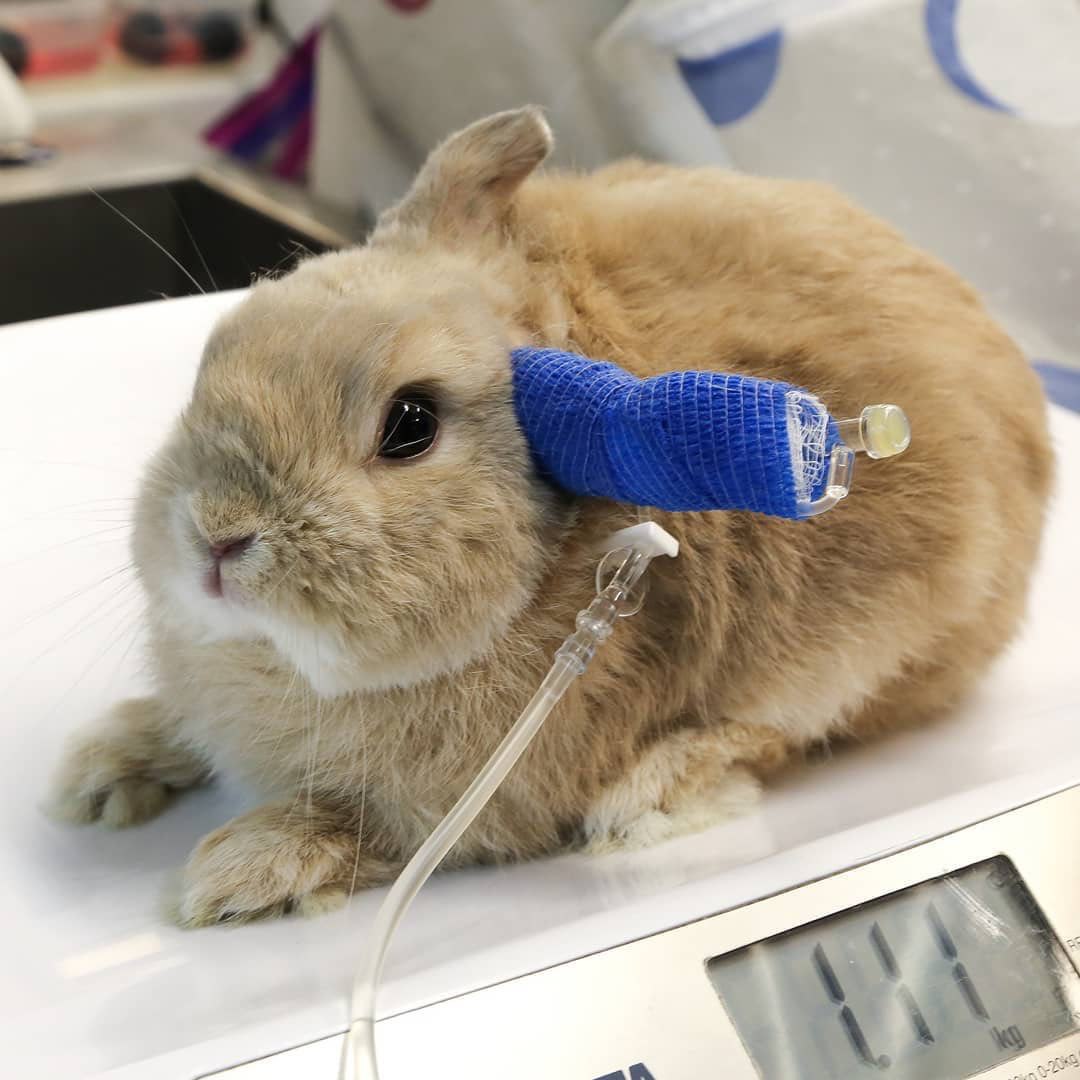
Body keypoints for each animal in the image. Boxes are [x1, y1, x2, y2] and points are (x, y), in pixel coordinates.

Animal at [46, 108, 1053, 927]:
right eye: (217, 356)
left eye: (410, 425)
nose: (215, 537)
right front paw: (97, 771)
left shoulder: (473, 807)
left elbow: (365, 829)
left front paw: (236, 872)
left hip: (871, 645)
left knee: (776, 732)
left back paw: (649, 797)